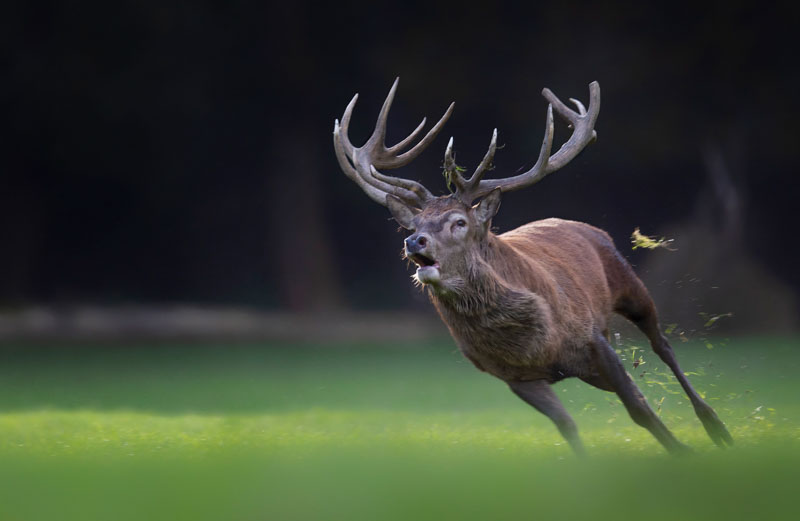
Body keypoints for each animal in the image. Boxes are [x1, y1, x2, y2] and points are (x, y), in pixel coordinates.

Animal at [332, 78, 733, 455]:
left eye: (459, 222)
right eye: (413, 225)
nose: (415, 242)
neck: (538, 341)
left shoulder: (592, 336)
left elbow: (639, 408)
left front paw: (683, 452)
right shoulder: (515, 377)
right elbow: (567, 425)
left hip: (628, 283)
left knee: (662, 345)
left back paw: (716, 425)